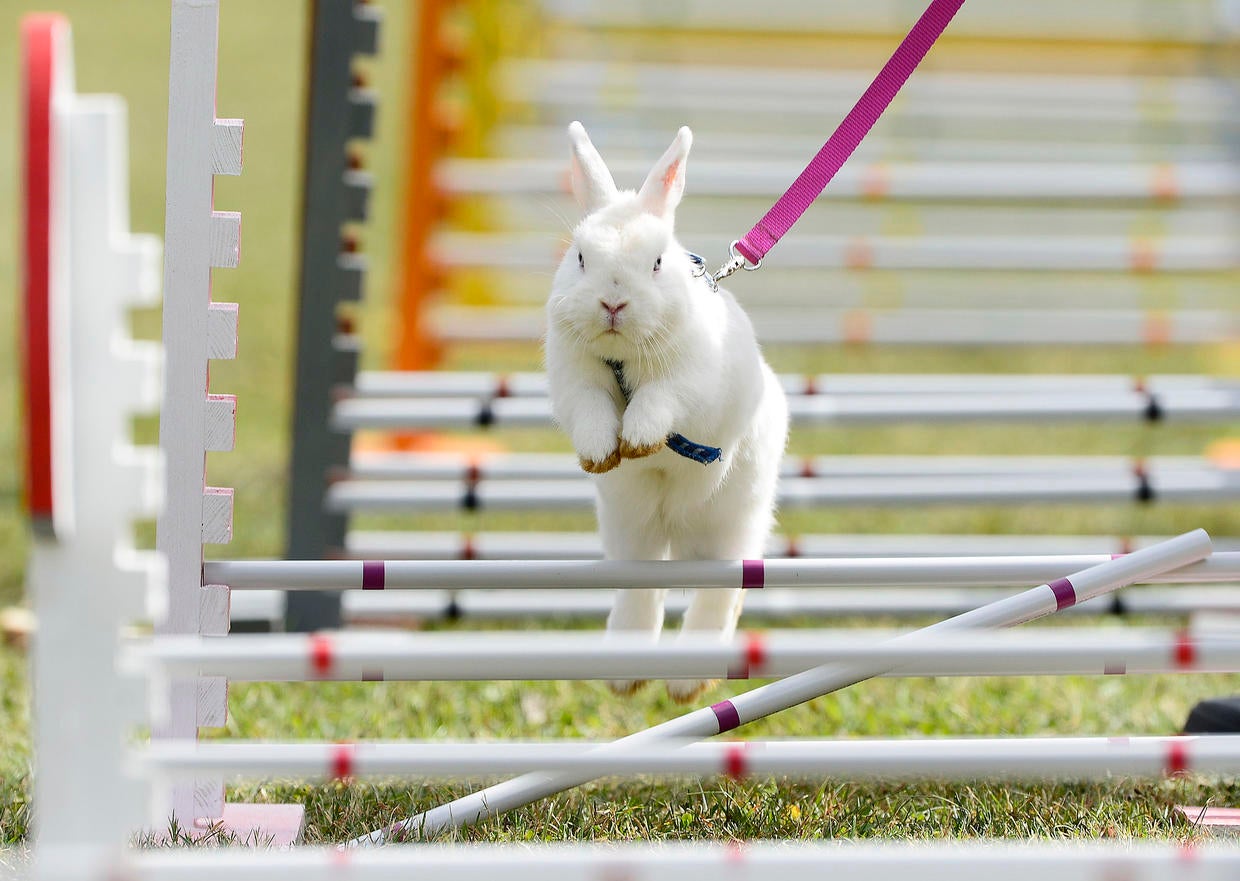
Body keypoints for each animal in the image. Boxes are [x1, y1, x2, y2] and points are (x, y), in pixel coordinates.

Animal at [544, 121, 789, 703]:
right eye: (580, 257)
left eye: (656, 263)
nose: (613, 304)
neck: (625, 358)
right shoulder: (575, 383)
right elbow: (591, 412)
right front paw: (605, 454)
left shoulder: (689, 386)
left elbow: (660, 402)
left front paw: (638, 440)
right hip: (630, 528)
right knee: (641, 586)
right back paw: (626, 675)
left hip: (737, 523)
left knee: (720, 596)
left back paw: (685, 683)